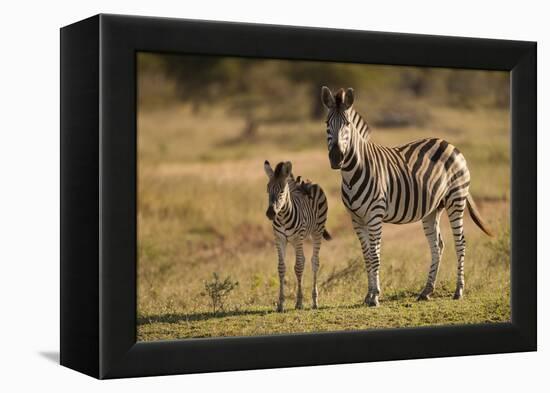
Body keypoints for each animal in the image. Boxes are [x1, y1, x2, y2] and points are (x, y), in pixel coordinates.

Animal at [264, 161, 332, 310]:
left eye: (282, 191)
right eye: (267, 190)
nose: (270, 213)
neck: (283, 217)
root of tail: (309, 182)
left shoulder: (297, 239)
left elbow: (299, 267)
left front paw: (299, 302)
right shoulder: (279, 239)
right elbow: (281, 267)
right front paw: (280, 304)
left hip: (316, 232)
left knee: (314, 262)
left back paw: (314, 301)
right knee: (305, 260)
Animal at [322, 86, 494, 306]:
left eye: (347, 124)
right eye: (327, 124)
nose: (336, 158)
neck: (352, 173)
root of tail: (449, 144)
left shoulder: (375, 215)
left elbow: (375, 255)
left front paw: (375, 296)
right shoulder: (356, 218)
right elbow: (366, 255)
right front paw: (368, 295)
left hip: (456, 199)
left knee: (460, 242)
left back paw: (458, 291)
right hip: (432, 209)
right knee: (437, 245)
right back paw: (426, 291)